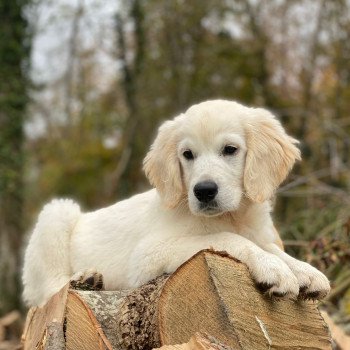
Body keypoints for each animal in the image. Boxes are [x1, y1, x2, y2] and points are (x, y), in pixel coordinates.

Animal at [22, 99, 330, 306]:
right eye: (187, 154)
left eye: (230, 150)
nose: (204, 191)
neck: (232, 215)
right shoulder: (148, 255)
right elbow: (227, 238)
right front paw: (273, 270)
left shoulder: (257, 231)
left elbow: (270, 246)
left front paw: (305, 271)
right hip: (57, 213)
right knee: (47, 291)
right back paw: (84, 278)